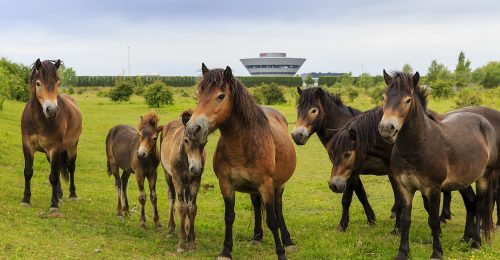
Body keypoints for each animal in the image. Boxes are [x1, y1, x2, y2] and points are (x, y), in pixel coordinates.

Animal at [20, 59, 82, 215]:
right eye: (38, 83)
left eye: (58, 83)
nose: (52, 110)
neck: (39, 121)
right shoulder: (27, 146)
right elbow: (28, 172)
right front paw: (25, 200)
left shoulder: (54, 149)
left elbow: (53, 177)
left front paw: (54, 206)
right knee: (59, 168)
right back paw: (59, 194)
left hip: (72, 148)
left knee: (71, 168)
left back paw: (72, 195)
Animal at [161, 110, 206, 252]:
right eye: (186, 140)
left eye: (205, 142)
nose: (195, 168)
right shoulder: (178, 179)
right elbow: (181, 207)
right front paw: (181, 244)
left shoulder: (196, 180)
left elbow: (191, 208)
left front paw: (191, 242)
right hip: (168, 174)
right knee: (171, 196)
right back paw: (171, 228)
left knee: (187, 200)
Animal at [187, 63, 296, 260]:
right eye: (198, 94)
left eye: (221, 96)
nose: (193, 129)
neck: (241, 147)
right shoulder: (226, 184)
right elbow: (229, 216)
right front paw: (226, 251)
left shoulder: (266, 185)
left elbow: (272, 220)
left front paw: (281, 253)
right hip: (255, 189)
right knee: (257, 205)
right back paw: (257, 237)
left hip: (279, 185)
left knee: (278, 209)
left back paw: (288, 241)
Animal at [378, 71, 496, 260]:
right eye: (384, 97)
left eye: (408, 100)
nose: (386, 128)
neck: (418, 146)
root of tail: (483, 121)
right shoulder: (405, 188)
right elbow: (405, 220)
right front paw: (403, 252)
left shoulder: (433, 189)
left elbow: (433, 221)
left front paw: (437, 252)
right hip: (463, 180)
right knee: (471, 203)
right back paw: (466, 238)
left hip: (483, 177)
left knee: (478, 206)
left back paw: (476, 243)